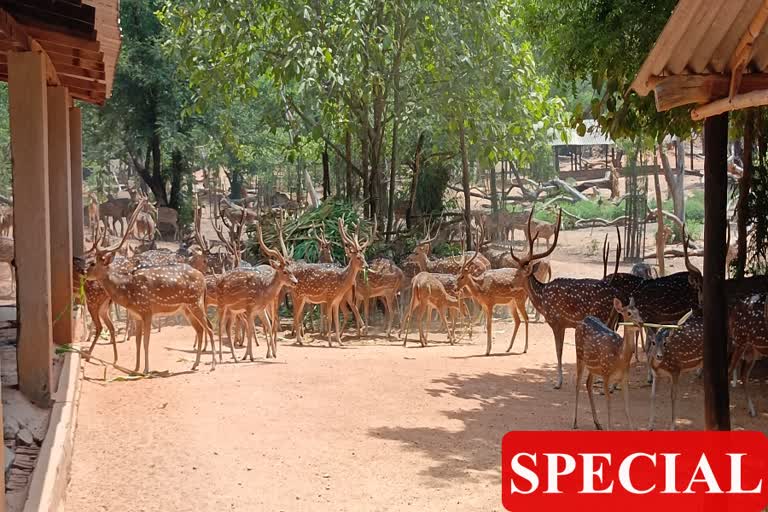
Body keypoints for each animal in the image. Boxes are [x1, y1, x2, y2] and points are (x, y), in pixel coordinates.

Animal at [83, 202, 214, 374]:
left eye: (92, 263)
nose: (84, 273)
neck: (127, 291)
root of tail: (203, 279)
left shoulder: (147, 311)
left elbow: (146, 341)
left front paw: (146, 369)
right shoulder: (137, 314)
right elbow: (138, 341)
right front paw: (135, 369)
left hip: (195, 303)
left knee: (209, 328)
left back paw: (213, 363)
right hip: (186, 308)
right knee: (200, 329)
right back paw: (195, 364)